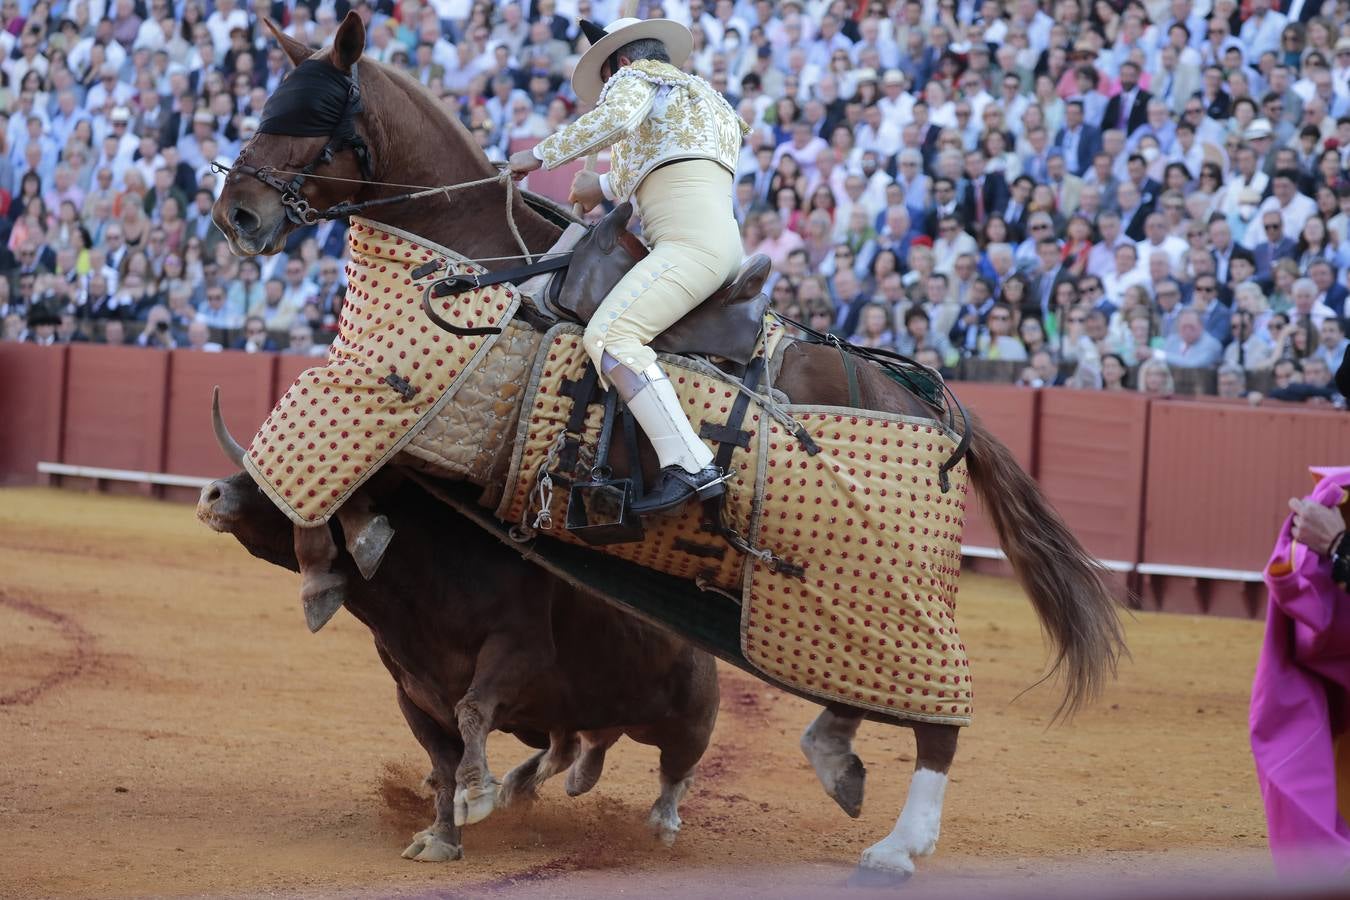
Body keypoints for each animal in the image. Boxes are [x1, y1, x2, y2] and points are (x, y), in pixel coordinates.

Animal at [207, 12, 1117, 879]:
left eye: (313, 112)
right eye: (268, 103)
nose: (236, 214)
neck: (476, 247)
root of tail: (936, 410)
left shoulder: (396, 417)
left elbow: (324, 495)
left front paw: (335, 569)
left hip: (896, 586)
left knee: (939, 717)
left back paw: (899, 845)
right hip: (827, 601)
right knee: (865, 684)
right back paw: (834, 758)